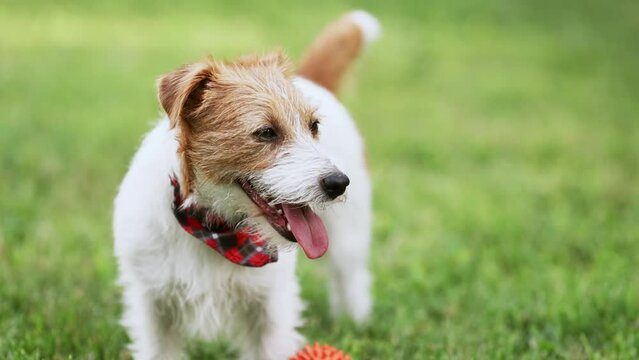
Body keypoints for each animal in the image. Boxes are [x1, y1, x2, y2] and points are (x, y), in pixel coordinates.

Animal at [112, 11, 380, 360]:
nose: (338, 183)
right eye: (266, 132)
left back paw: (355, 321)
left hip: (350, 237)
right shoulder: (153, 304)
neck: (214, 227)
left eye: (314, 126)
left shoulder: (270, 307)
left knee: (351, 278)